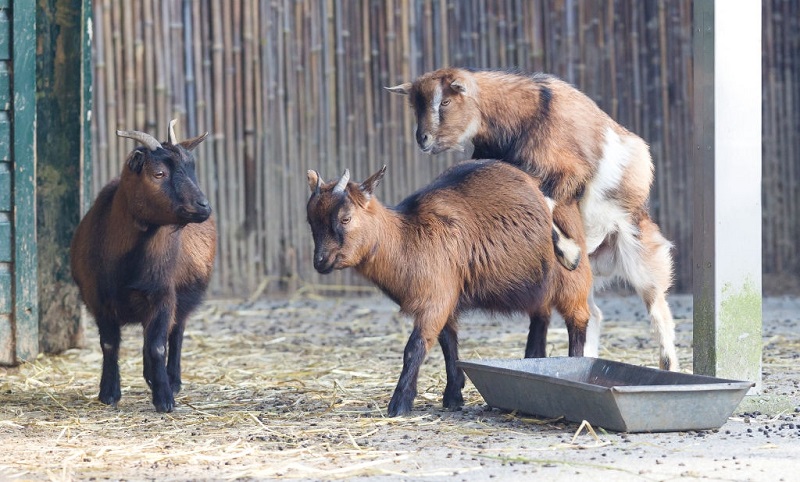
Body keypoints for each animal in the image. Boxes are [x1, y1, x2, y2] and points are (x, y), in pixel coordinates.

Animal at [70, 122, 216, 412]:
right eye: (158, 173)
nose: (203, 206)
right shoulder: (99, 299)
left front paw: (165, 398)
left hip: (185, 295)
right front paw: (109, 393)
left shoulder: (163, 295)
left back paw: (172, 379)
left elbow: (158, 346)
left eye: (192, 168)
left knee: (176, 332)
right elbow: (109, 344)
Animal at [304, 160, 592, 416]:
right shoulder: (447, 297)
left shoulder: (435, 298)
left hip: (572, 279)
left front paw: (400, 403)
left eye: (345, 218)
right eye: (311, 221)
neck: (407, 238)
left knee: (577, 320)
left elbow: (415, 347)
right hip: (538, 284)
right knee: (541, 317)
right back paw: (533, 360)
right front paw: (453, 395)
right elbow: (448, 343)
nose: (320, 262)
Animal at [390, 67, 680, 370]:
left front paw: (569, 253)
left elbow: (545, 201)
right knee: (592, 312)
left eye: (445, 101)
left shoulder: (568, 174)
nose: (422, 139)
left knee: (656, 304)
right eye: (414, 105)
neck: (524, 116)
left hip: (637, 253)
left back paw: (669, 363)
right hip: (587, 273)